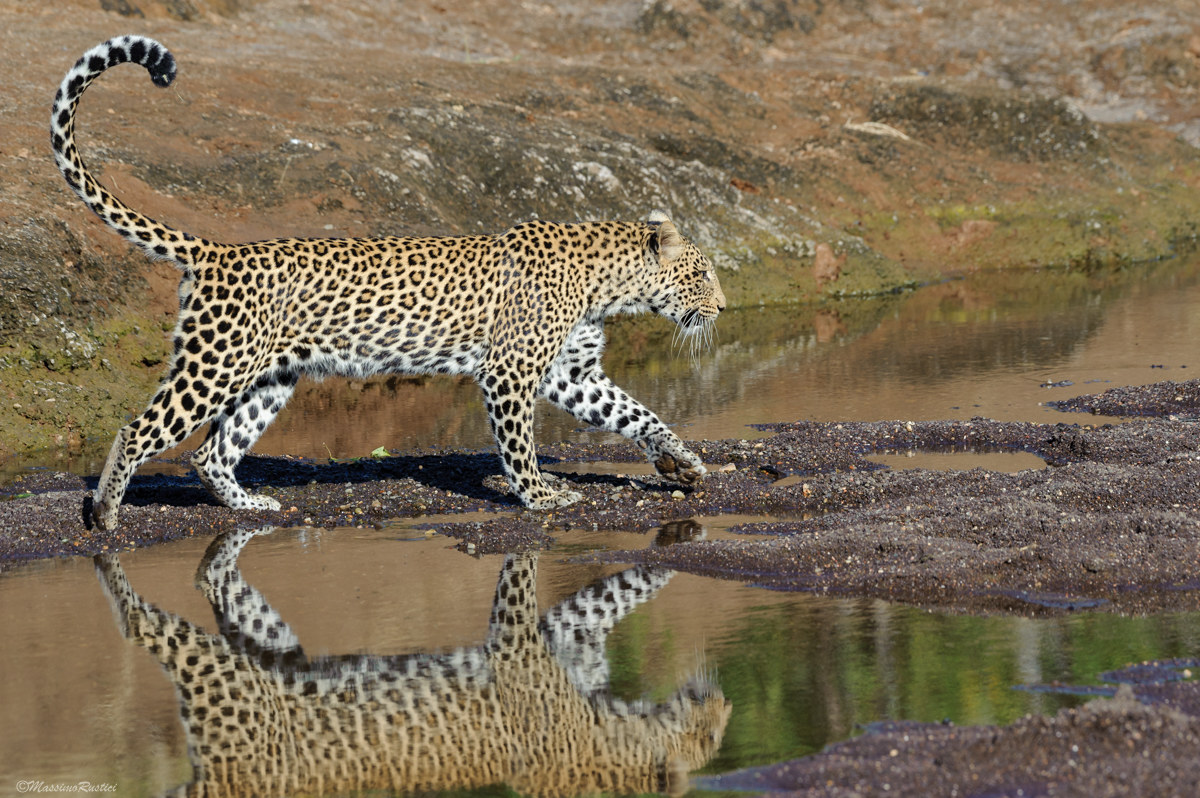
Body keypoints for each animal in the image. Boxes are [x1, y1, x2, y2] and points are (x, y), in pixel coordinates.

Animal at [51, 35, 726, 530]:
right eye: (699, 275)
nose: (721, 307)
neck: (606, 283)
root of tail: (216, 249)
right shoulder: (510, 371)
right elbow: (520, 444)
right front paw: (539, 495)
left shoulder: (571, 372)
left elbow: (638, 412)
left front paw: (683, 464)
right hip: (215, 365)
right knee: (138, 429)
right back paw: (106, 512)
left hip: (269, 376)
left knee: (211, 453)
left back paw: (249, 505)